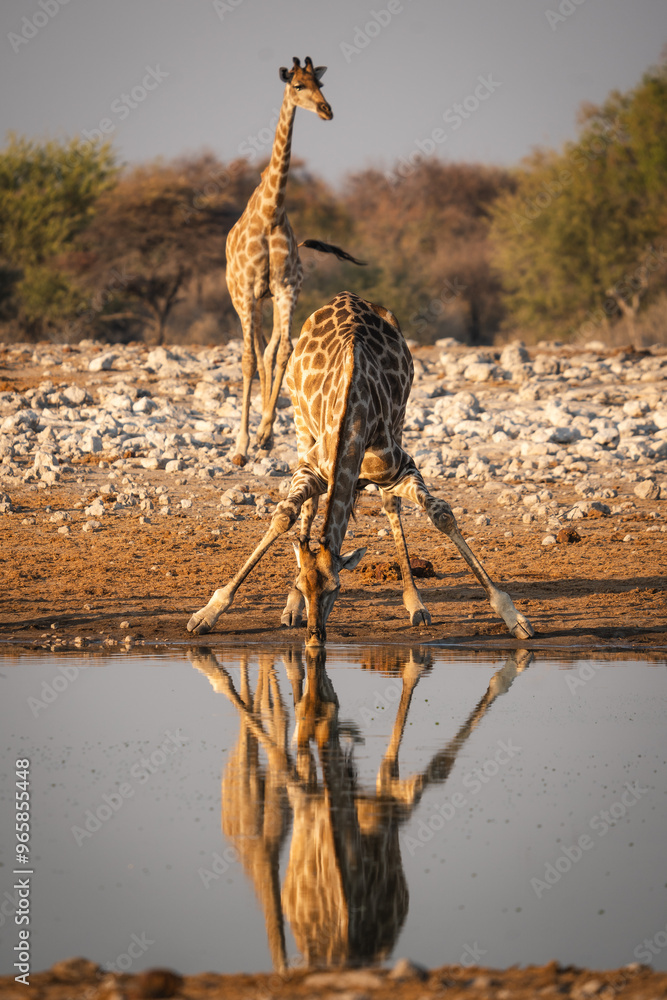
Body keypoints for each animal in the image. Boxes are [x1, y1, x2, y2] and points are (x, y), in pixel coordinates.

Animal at [187, 292, 532, 640]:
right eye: (303, 585)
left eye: (335, 589)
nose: (315, 634)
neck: (353, 420)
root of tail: (346, 296)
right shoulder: (311, 468)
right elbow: (284, 516)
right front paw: (207, 613)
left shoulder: (402, 468)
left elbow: (441, 514)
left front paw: (513, 615)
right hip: (299, 419)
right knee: (310, 505)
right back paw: (290, 609)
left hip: (400, 419)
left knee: (391, 506)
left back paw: (415, 602)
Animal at [230, 58, 366, 468]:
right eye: (297, 86)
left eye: (320, 83)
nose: (326, 110)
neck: (271, 211)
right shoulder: (249, 290)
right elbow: (248, 359)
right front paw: (242, 445)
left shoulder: (285, 288)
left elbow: (284, 352)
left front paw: (265, 434)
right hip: (243, 299)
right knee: (254, 354)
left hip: (270, 300)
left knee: (269, 351)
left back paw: (266, 431)